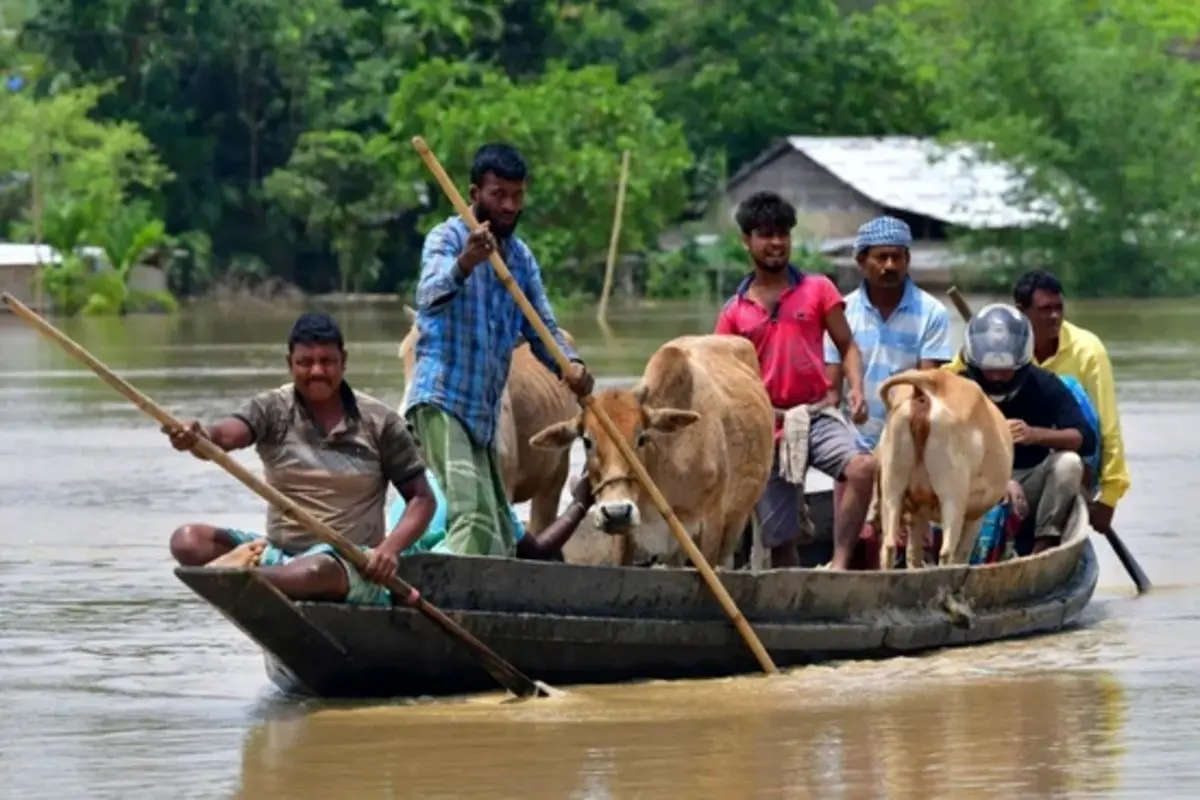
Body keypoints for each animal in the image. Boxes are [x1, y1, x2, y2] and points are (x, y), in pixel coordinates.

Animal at [528, 335, 772, 566]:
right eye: (587, 441)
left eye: (642, 438)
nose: (616, 512)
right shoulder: (628, 538)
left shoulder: (712, 523)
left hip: (738, 516)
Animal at [873, 369, 1012, 568]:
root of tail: (931, 381)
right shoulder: (974, 516)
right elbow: (962, 555)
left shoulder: (918, 512)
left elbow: (913, 553)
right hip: (953, 496)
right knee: (947, 552)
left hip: (892, 488)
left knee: (889, 545)